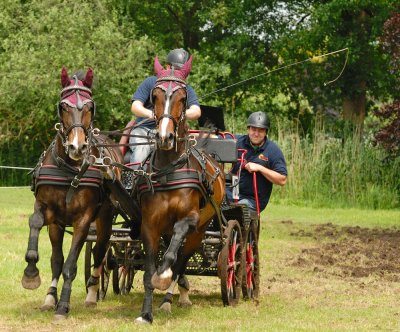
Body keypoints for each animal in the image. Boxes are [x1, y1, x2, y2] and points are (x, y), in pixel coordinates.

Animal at [21, 67, 122, 320]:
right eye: (63, 106)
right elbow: (53, 256)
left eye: (89, 106)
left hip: (104, 220)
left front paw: (63, 305)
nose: (77, 147)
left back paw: (92, 293)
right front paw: (34, 278)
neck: (70, 169)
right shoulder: (51, 215)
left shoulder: (83, 220)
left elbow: (70, 265)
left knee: (99, 252)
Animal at [135, 55, 225, 322]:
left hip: (200, 231)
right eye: (154, 96)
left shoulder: (190, 219)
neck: (169, 169)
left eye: (183, 98)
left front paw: (163, 278)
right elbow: (148, 270)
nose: (165, 137)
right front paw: (145, 314)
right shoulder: (150, 224)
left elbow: (172, 256)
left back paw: (169, 298)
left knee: (182, 259)